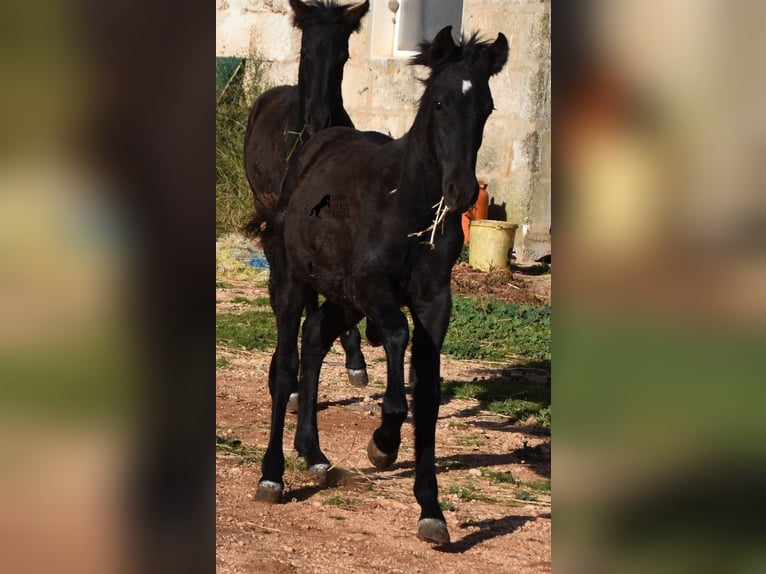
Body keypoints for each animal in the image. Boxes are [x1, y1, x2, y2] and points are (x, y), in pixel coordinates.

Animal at [258, 28, 510, 548]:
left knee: (315, 337)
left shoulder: (435, 300)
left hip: (342, 297)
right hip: (295, 281)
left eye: (488, 106)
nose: (460, 192)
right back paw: (272, 474)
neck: (407, 202)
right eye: (439, 102)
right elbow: (396, 338)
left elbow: (428, 391)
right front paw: (384, 441)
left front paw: (431, 509)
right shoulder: (374, 284)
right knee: (286, 363)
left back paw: (313, 453)